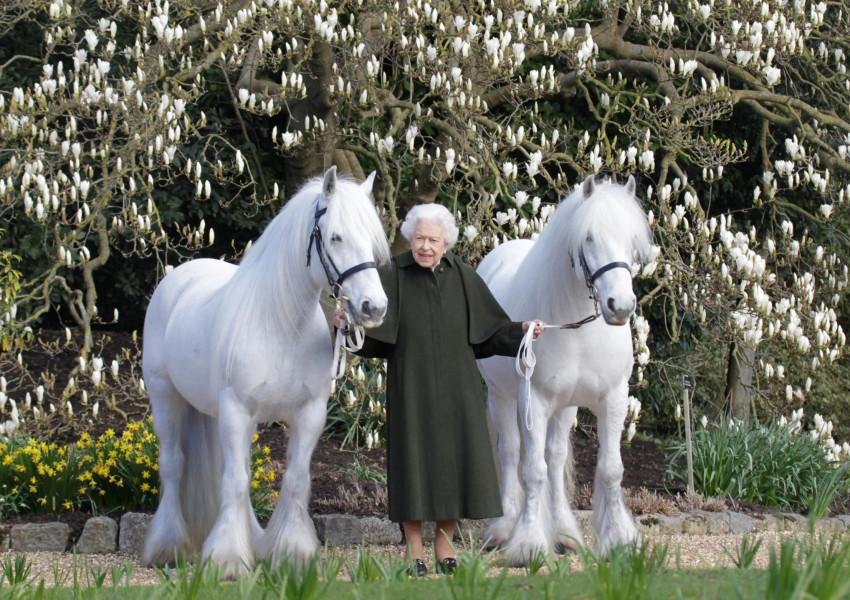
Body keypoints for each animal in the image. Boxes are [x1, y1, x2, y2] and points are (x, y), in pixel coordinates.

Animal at [142, 165, 388, 576]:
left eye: (372, 240)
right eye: (336, 237)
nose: (374, 307)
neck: (281, 326)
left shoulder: (309, 415)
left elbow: (294, 480)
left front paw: (292, 553)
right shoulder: (237, 411)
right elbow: (236, 482)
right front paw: (227, 560)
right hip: (166, 398)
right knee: (174, 465)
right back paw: (167, 547)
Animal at [476, 175, 648, 568]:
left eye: (631, 239)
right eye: (589, 238)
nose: (621, 306)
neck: (577, 328)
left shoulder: (613, 399)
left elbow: (610, 470)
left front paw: (619, 540)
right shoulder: (534, 402)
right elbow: (532, 471)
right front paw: (528, 545)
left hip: (565, 406)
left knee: (554, 459)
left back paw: (565, 534)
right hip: (502, 397)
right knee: (511, 453)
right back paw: (504, 528)